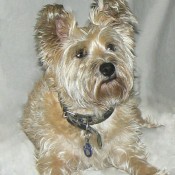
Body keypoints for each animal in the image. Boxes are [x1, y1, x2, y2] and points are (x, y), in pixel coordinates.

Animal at [21, 0, 168, 174]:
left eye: (111, 46)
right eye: (80, 53)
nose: (108, 68)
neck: (92, 119)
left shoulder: (125, 148)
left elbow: (140, 163)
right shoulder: (53, 157)